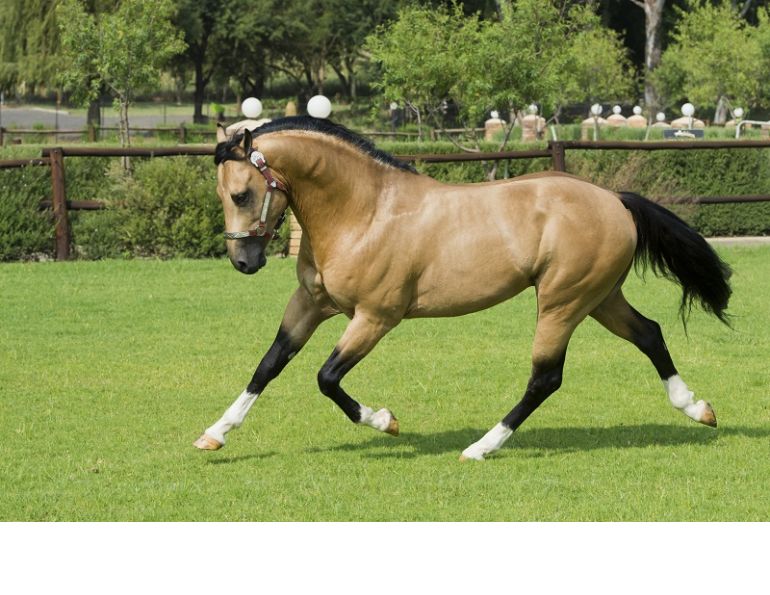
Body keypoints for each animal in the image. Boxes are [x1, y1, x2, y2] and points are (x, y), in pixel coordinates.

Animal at [194, 115, 731, 461]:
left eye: (241, 194)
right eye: (221, 194)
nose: (243, 262)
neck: (364, 212)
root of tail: (614, 200)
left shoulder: (375, 317)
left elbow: (326, 378)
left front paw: (385, 420)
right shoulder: (310, 304)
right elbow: (268, 365)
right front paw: (214, 434)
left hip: (563, 302)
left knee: (546, 377)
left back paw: (480, 448)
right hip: (600, 298)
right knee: (650, 334)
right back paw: (697, 408)